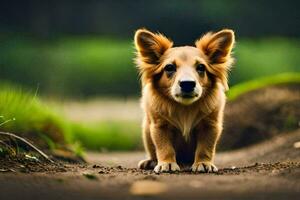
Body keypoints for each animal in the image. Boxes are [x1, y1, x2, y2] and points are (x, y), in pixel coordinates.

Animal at [134, 28, 234, 173]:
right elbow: (164, 147)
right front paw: (167, 163)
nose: (187, 84)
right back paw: (150, 162)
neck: (185, 108)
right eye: (169, 67)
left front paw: (203, 163)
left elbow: (206, 148)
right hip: (146, 130)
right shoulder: (159, 126)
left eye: (201, 67)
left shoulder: (210, 125)